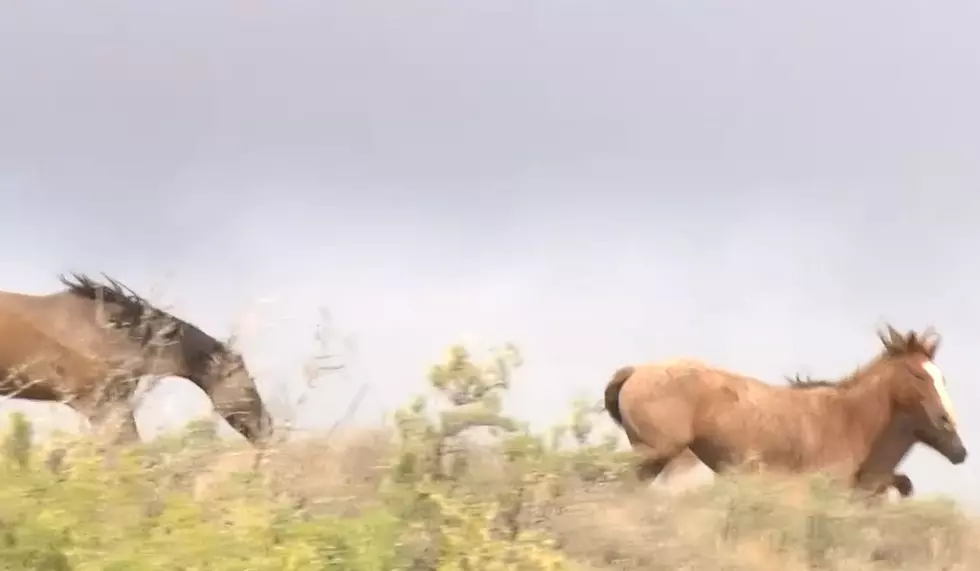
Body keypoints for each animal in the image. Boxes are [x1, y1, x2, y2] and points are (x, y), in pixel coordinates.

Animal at [604, 326, 964, 496]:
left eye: (942, 376)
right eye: (918, 375)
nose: (958, 446)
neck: (849, 419)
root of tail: (635, 372)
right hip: (654, 456)